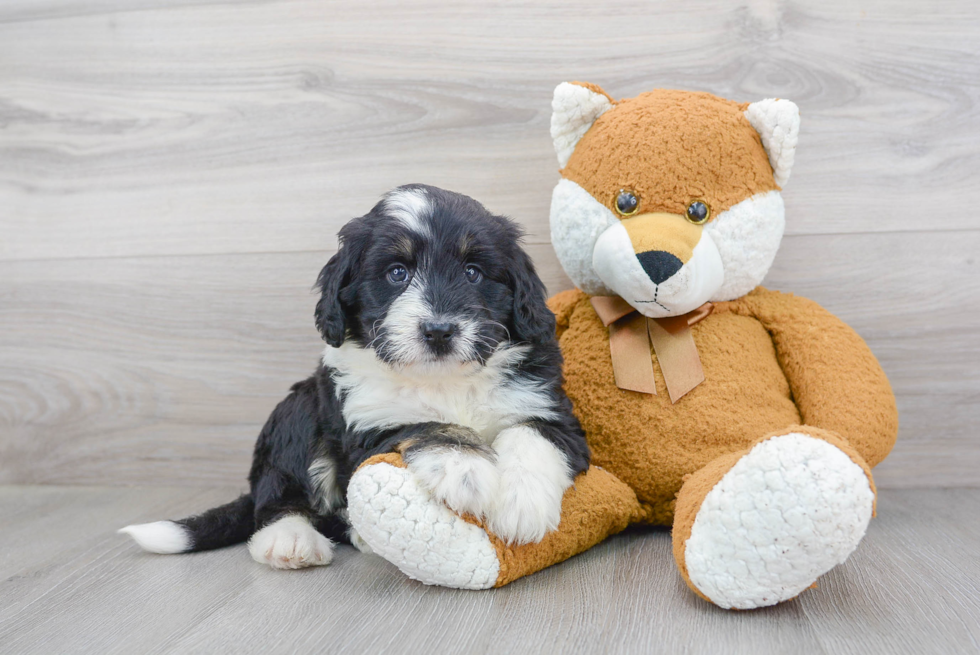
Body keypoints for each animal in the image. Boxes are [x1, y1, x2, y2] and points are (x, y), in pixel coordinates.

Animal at [117, 183, 584, 568]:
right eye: (397, 273)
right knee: (278, 496)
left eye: (474, 272)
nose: (438, 330)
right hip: (299, 410)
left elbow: (532, 433)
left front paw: (522, 504)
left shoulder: (549, 405)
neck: (442, 379)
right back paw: (290, 538)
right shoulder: (367, 425)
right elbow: (424, 424)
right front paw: (464, 467)